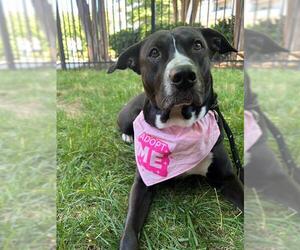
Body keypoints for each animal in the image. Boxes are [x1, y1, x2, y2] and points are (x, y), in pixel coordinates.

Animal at [108, 26, 244, 249]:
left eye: (197, 45)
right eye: (154, 53)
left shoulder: (227, 177)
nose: (184, 75)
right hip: (128, 117)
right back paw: (129, 136)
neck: (179, 124)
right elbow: (130, 228)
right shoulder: (142, 183)